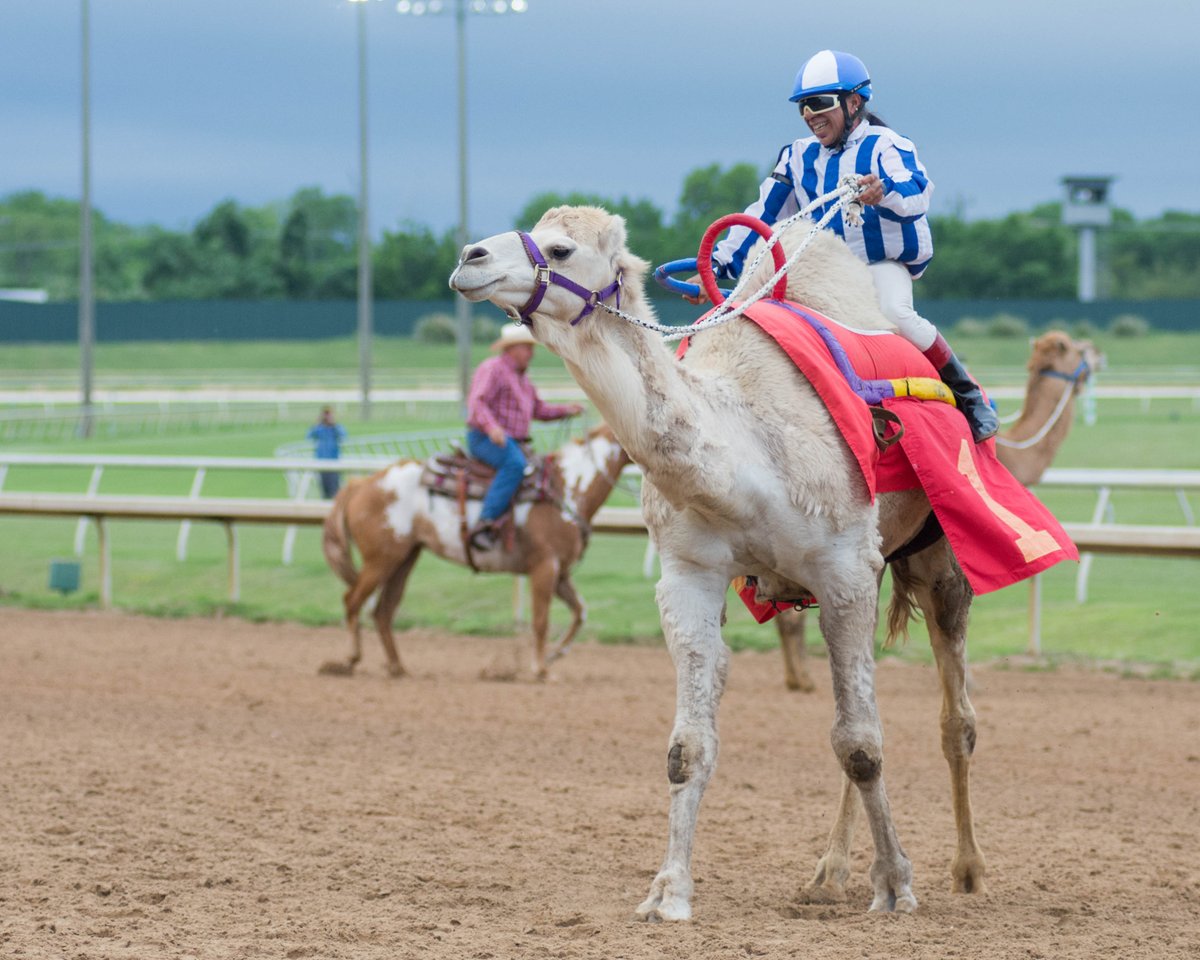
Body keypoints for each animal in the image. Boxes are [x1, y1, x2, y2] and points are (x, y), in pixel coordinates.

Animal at [320, 423, 631, 681]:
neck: (567, 489)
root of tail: (360, 484)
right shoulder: (545, 567)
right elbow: (541, 620)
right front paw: (541, 669)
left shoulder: (561, 573)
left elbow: (580, 612)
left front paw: (554, 655)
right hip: (381, 560)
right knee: (353, 601)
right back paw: (349, 660)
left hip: (404, 559)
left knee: (383, 611)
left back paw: (398, 667)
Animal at [451, 205, 993, 918]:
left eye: (561, 248)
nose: (470, 258)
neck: (743, 449)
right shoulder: (691, 574)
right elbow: (689, 748)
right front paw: (668, 892)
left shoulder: (843, 569)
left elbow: (861, 744)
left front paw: (898, 885)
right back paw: (830, 872)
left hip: (936, 558)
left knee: (954, 718)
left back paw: (968, 870)